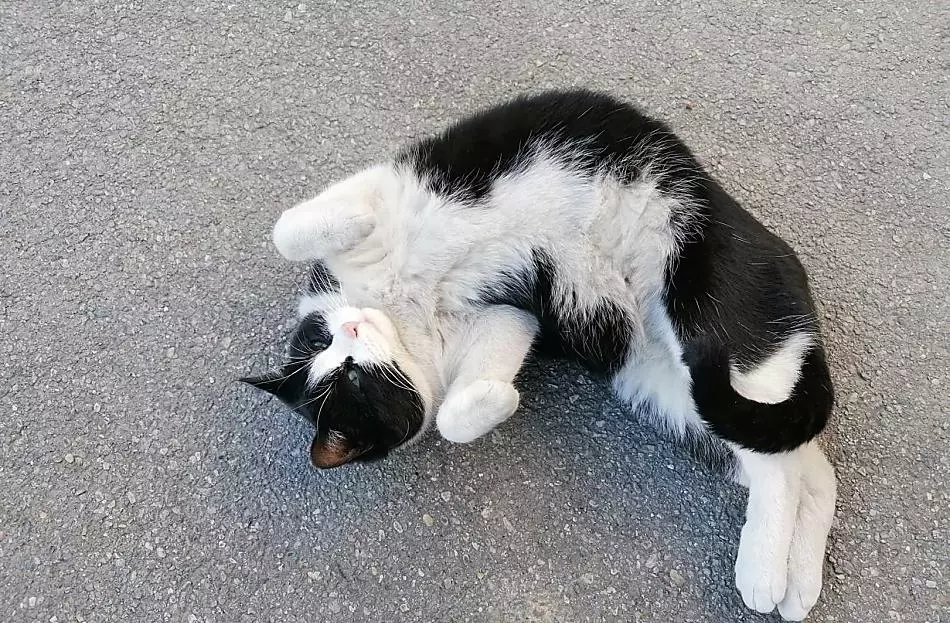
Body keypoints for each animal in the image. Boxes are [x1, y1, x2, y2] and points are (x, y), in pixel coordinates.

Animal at [241, 89, 836, 621]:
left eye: (342, 364)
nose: (351, 326)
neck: (400, 312)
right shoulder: (507, 317)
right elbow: (454, 414)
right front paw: (499, 400)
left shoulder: (382, 191)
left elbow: (286, 229)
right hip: (671, 395)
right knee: (800, 465)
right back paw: (790, 583)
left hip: (703, 293)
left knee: (784, 461)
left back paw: (763, 575)